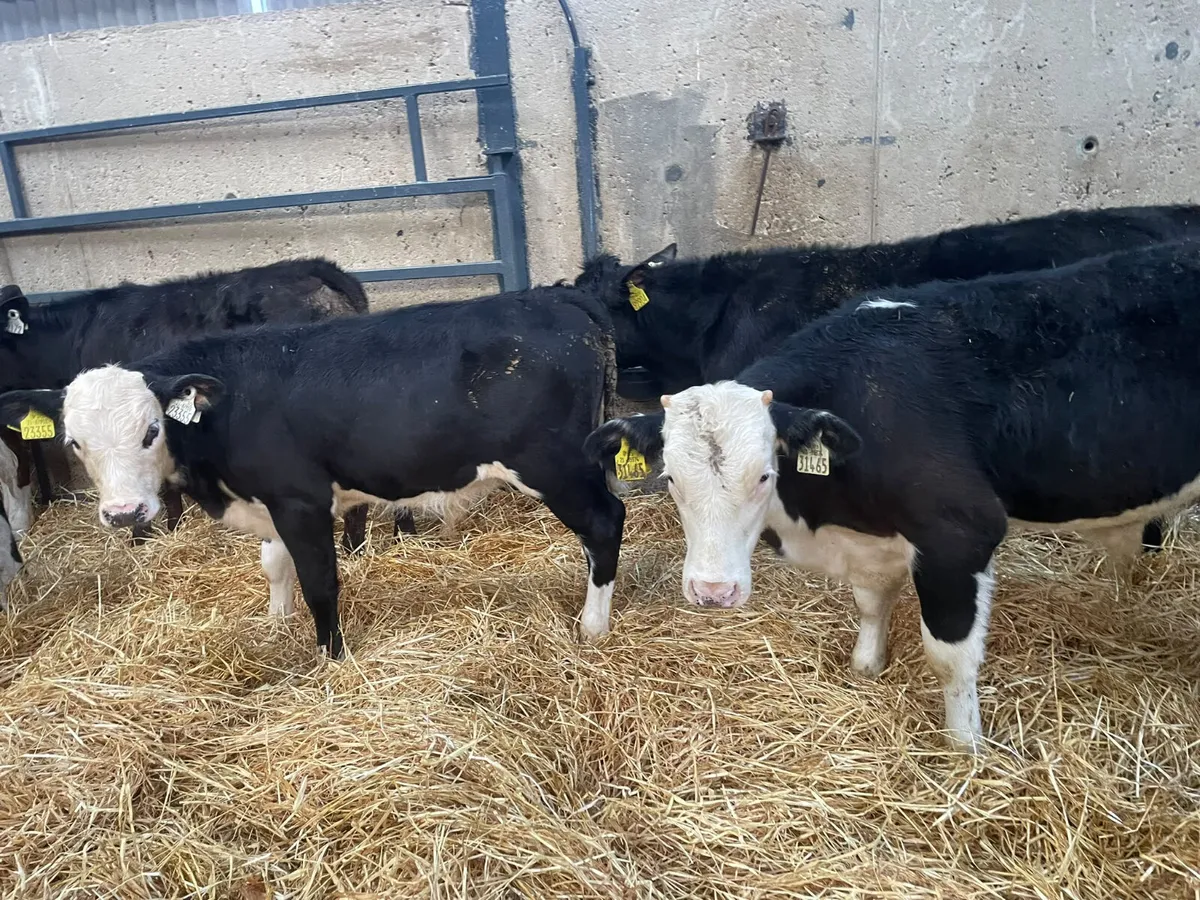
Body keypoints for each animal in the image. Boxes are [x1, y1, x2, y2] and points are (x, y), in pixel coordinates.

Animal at [585, 238, 1200, 751]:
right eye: (670, 479)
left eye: (765, 474)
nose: (713, 592)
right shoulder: (869, 539)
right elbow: (871, 601)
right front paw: (866, 666)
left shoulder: (960, 533)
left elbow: (950, 657)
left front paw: (965, 747)